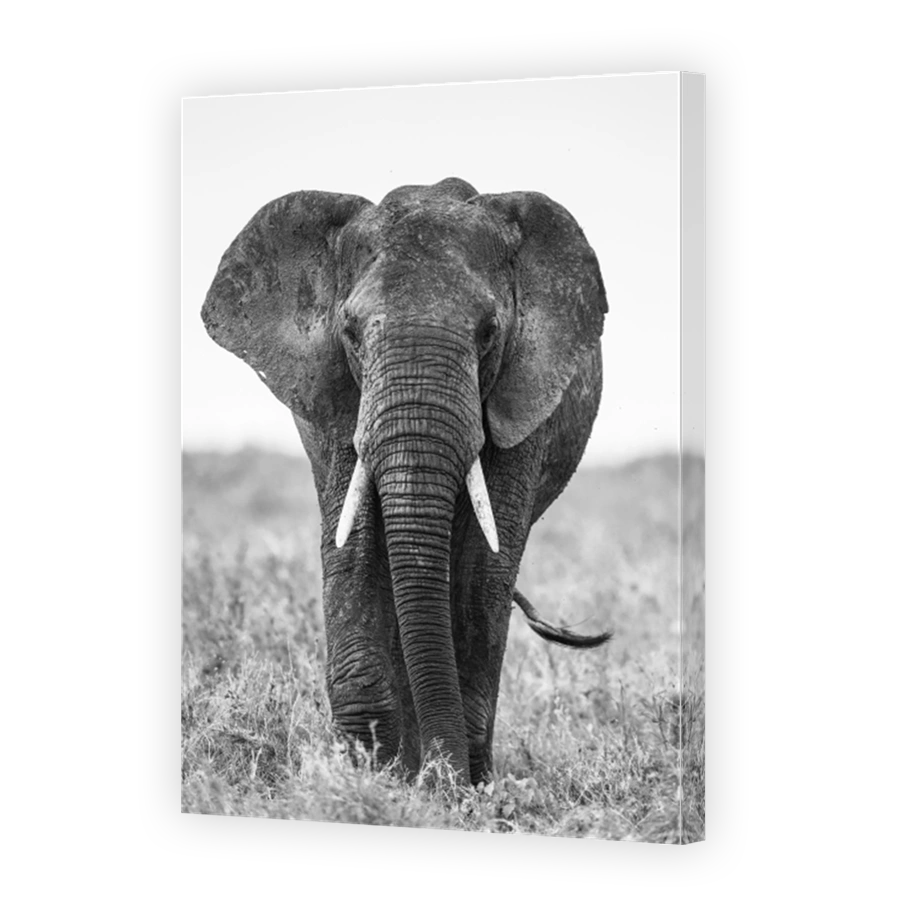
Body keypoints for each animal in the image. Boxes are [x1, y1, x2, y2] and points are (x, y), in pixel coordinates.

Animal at [201, 177, 611, 786]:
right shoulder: (340, 401)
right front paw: (370, 770)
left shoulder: (523, 403)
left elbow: (483, 567)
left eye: (489, 332)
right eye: (349, 331)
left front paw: (458, 784)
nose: (444, 777)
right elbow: (353, 547)